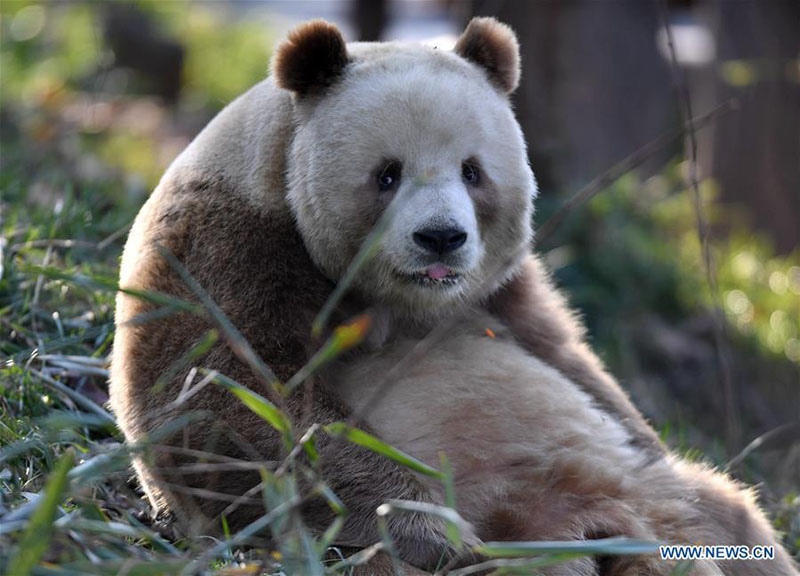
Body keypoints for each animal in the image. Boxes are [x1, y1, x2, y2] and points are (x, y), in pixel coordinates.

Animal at [109, 17, 797, 576]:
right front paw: (436, 531)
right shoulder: (230, 245)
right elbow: (228, 401)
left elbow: (573, 361)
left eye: (473, 171)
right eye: (387, 174)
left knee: (733, 517)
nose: (441, 238)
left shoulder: (506, 290)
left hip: (671, 497)